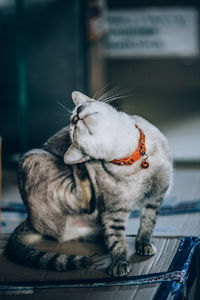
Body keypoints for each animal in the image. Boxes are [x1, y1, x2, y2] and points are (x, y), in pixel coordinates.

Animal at [5, 91, 173, 276]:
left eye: (79, 108)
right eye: (72, 127)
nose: (76, 117)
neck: (134, 156)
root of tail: (28, 217)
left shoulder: (156, 196)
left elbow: (148, 223)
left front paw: (144, 245)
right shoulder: (113, 211)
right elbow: (117, 241)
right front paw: (120, 263)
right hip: (36, 158)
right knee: (84, 201)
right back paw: (79, 168)